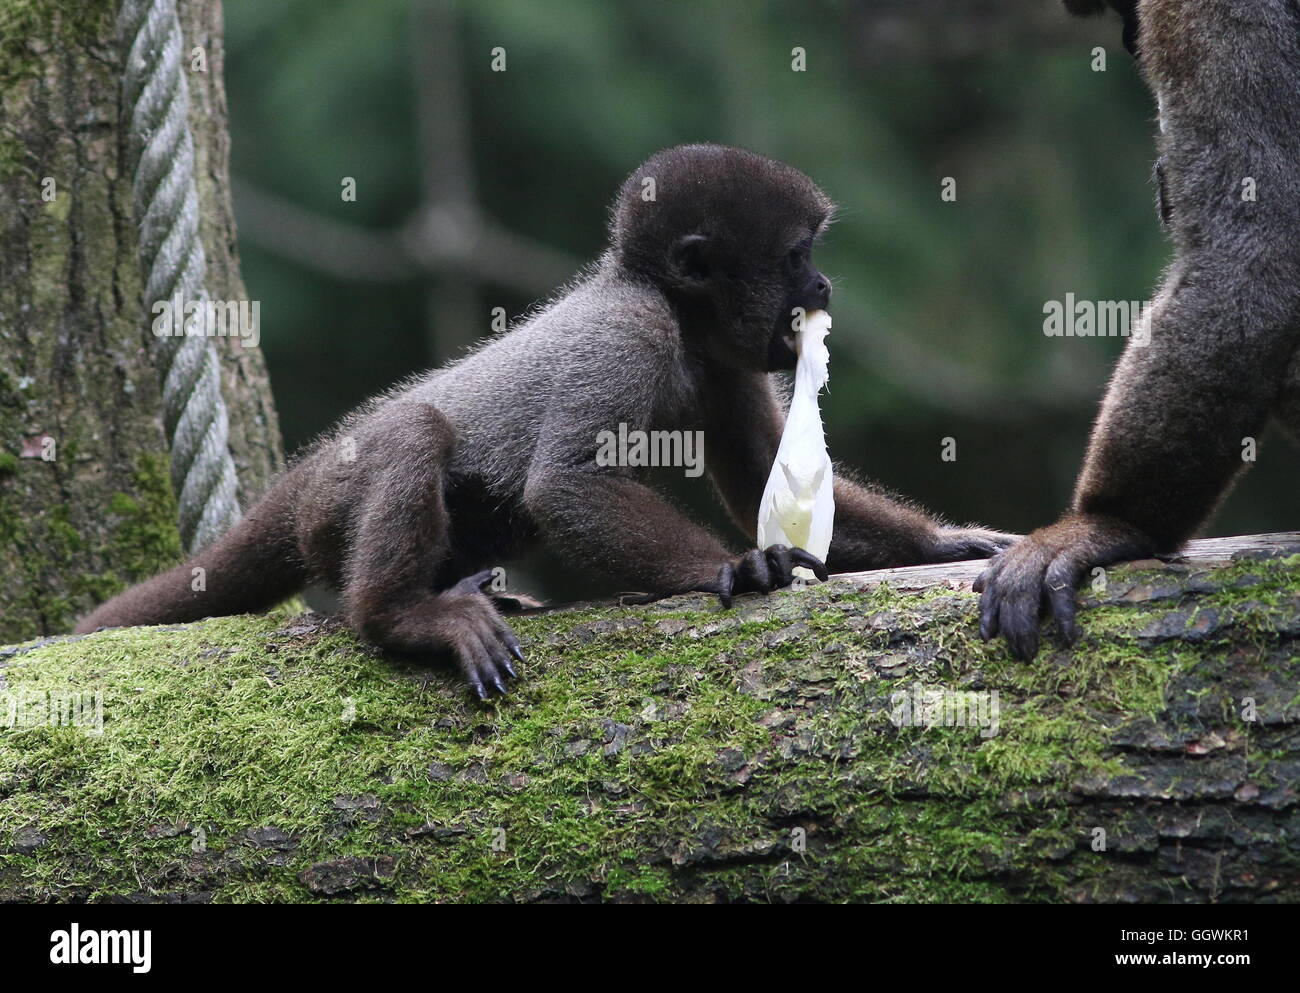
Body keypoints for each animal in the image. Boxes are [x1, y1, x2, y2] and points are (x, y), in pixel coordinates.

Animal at [78, 145, 1013, 696]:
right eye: (796, 255)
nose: (821, 288)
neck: (663, 300)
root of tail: (308, 467)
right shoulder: (630, 334)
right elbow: (568, 485)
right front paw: (742, 567)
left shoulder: (724, 358)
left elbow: (758, 471)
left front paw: (942, 541)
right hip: (330, 503)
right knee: (415, 433)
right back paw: (401, 614)